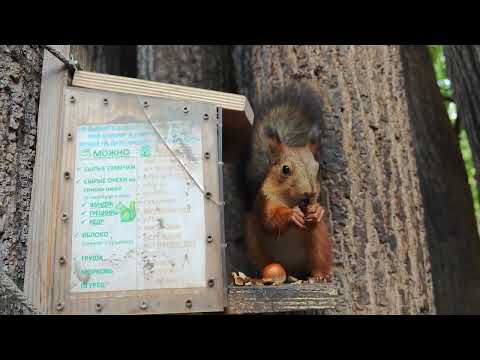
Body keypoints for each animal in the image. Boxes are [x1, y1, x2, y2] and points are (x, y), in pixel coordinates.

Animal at [244, 83, 334, 282]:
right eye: (285, 169)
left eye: (317, 168)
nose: (310, 193)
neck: (291, 200)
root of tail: (294, 272)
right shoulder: (265, 201)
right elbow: (270, 221)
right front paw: (292, 215)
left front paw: (317, 211)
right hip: (254, 244)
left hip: (319, 242)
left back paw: (319, 276)